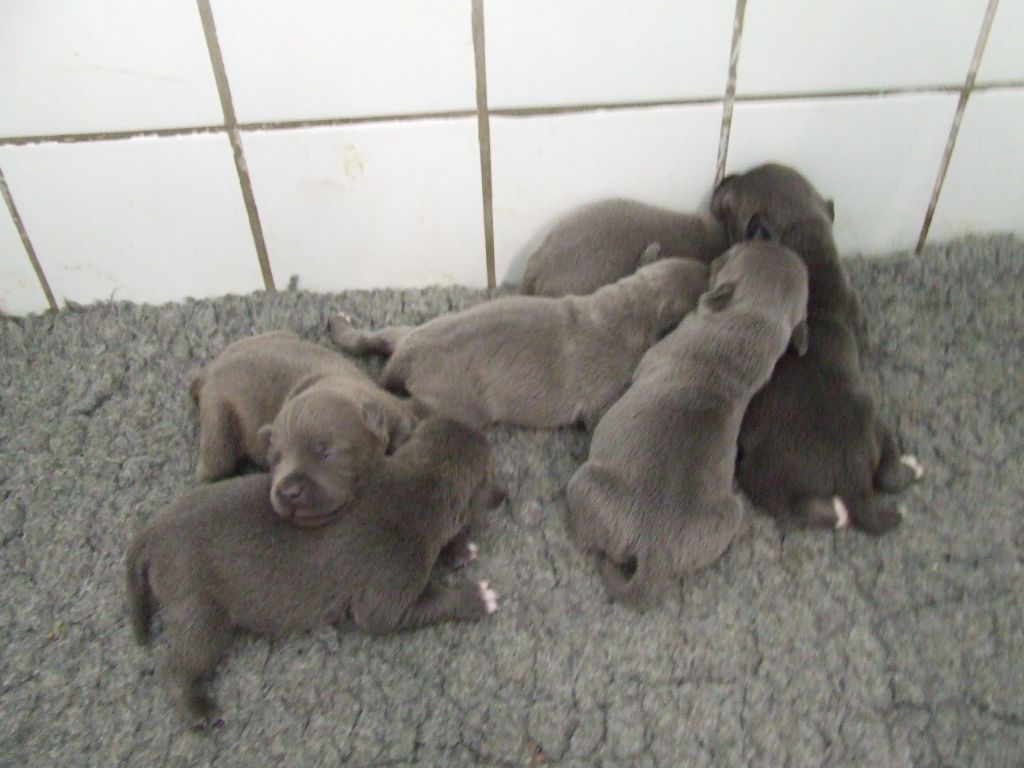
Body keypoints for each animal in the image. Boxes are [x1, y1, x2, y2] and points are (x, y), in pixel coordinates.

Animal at [126, 416, 505, 726]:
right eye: (491, 474)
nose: (506, 495)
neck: (417, 483)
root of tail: (150, 534)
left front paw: (458, 549)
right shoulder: (388, 589)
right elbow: (398, 611)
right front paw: (475, 596)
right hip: (199, 606)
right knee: (179, 665)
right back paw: (198, 709)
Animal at [190, 331, 418, 519]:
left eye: (324, 452)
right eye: (274, 460)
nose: (288, 492)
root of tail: (207, 372)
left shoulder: (396, 414)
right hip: (217, 420)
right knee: (211, 468)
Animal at [329, 256, 708, 430]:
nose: (709, 265)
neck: (629, 306)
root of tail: (406, 356)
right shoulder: (602, 396)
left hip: (404, 331)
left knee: (374, 337)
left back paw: (339, 325)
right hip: (453, 408)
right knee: (409, 413)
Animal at [566, 241, 809, 609]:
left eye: (732, 254)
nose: (718, 255)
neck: (741, 336)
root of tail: (654, 549)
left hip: (586, 484)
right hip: (731, 513)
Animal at [711, 163, 923, 533]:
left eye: (731, 200)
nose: (725, 177)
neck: (807, 242)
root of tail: (853, 477)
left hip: (761, 473)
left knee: (793, 508)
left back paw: (836, 513)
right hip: (877, 423)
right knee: (888, 474)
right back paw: (910, 468)